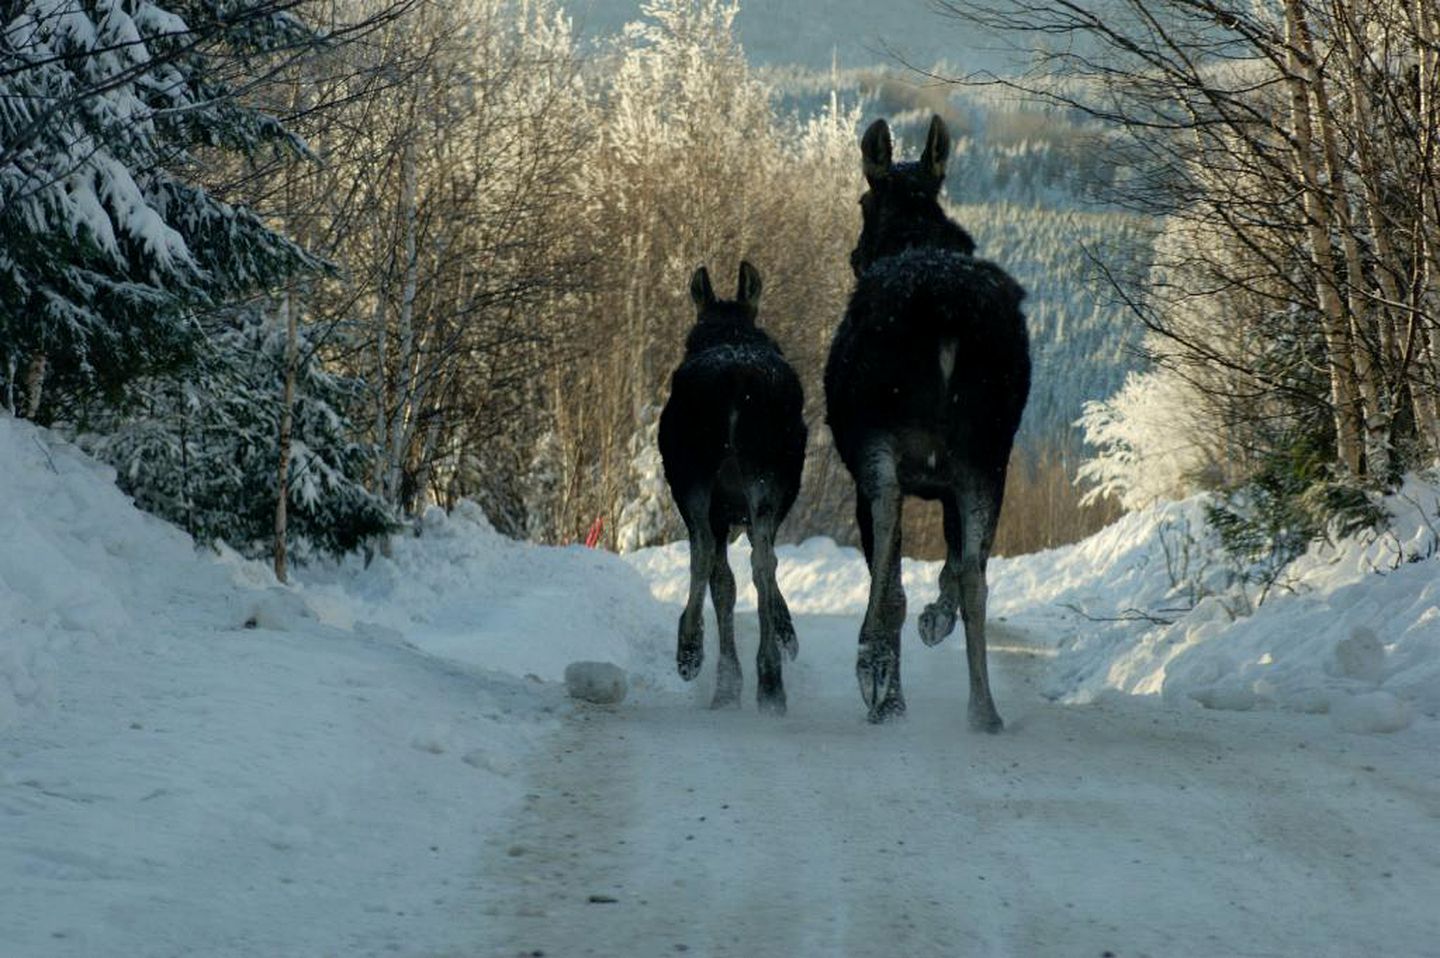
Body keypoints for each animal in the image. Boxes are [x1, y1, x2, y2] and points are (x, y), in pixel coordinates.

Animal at [659, 259, 806, 708]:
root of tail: (736, 378)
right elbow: (732, 582)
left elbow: (725, 582)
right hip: (757, 475)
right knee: (757, 560)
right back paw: (766, 677)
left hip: (696, 474)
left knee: (709, 553)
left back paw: (693, 650)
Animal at [829, 115, 1031, 728]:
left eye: (864, 199)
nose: (855, 253)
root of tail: (945, 313)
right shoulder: (955, 478)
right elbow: (957, 564)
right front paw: (934, 621)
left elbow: (889, 565)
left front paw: (889, 694)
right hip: (989, 449)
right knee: (975, 578)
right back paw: (984, 710)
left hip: (879, 438)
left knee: (889, 528)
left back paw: (871, 664)